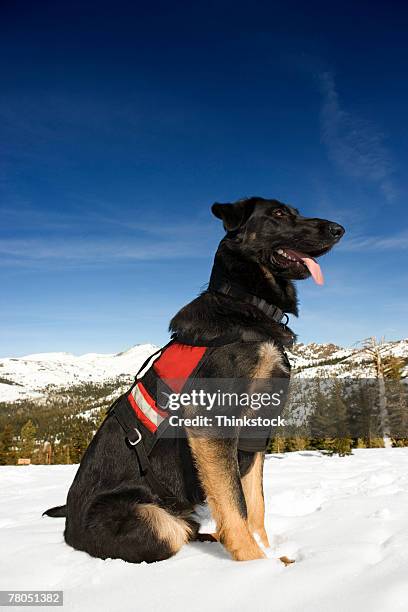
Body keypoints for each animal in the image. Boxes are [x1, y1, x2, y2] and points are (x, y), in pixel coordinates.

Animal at [44, 197, 344, 564]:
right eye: (278, 213)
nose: (339, 229)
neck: (246, 303)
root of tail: (69, 527)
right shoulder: (212, 424)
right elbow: (235, 506)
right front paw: (255, 564)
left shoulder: (256, 434)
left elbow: (255, 506)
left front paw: (268, 554)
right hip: (154, 521)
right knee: (179, 531)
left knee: (194, 527)